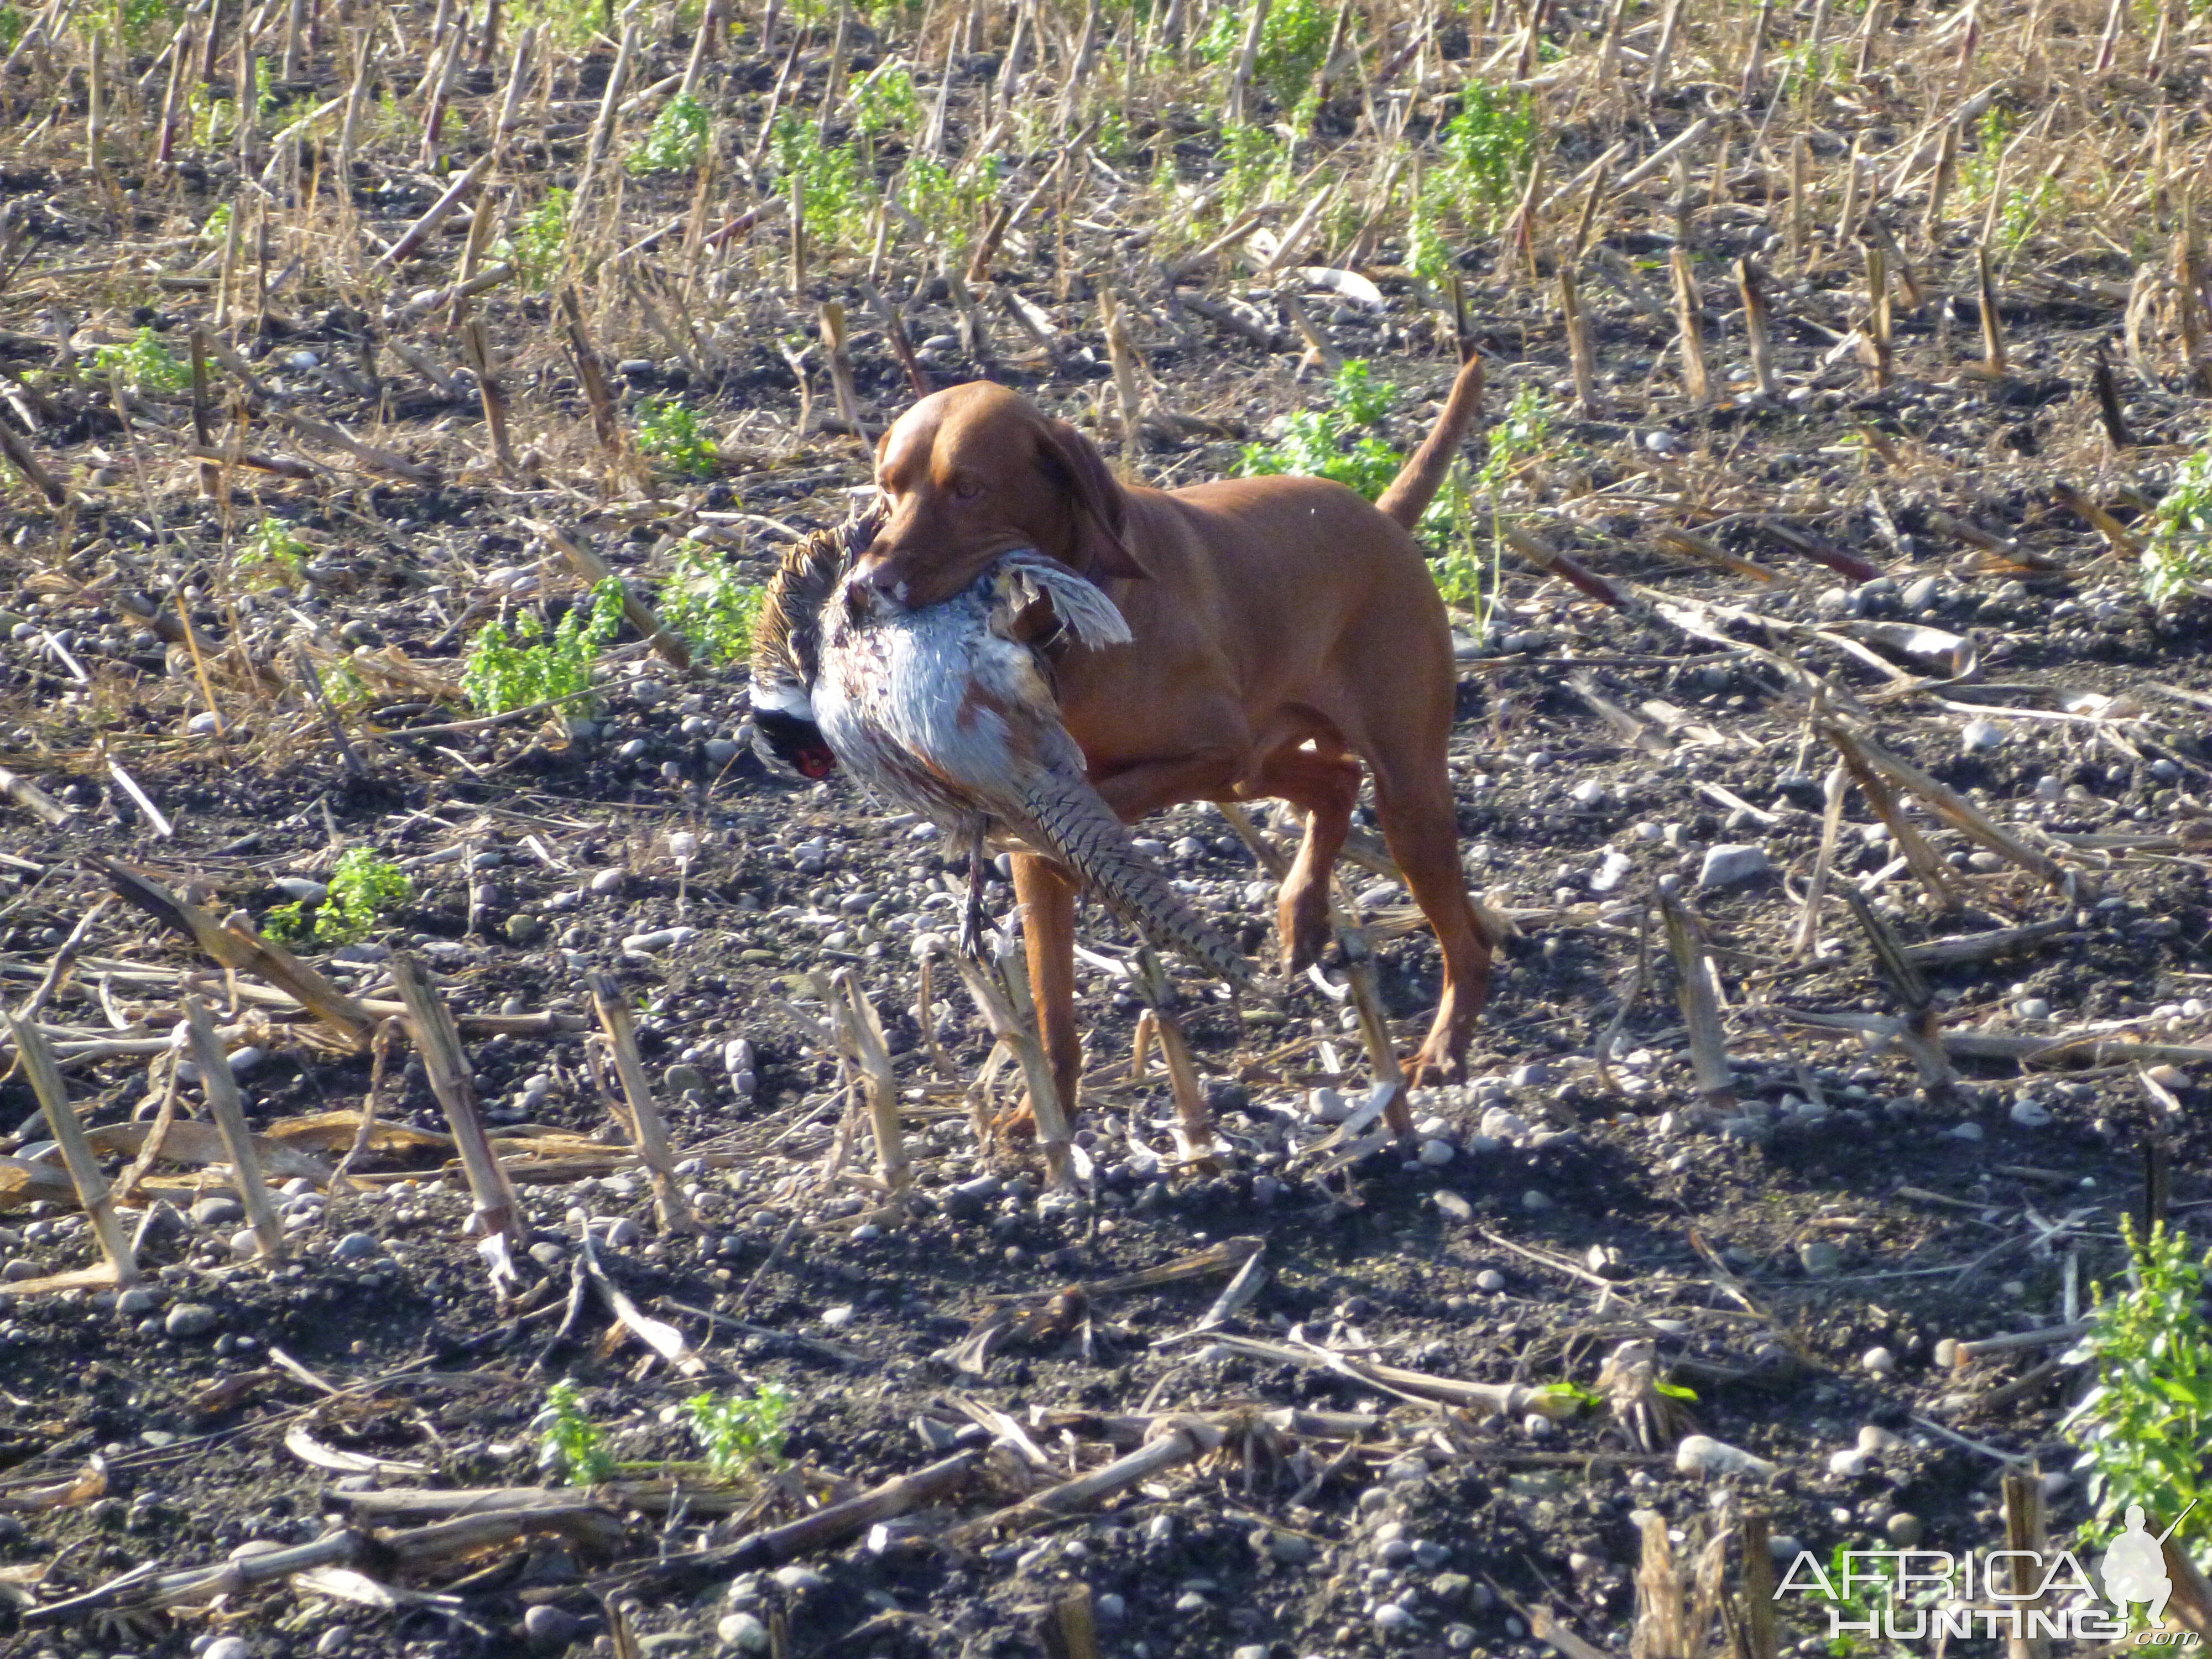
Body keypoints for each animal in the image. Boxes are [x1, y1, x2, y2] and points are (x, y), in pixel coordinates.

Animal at [854, 363, 1495, 1119]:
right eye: (888, 486)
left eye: (969, 489)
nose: (864, 585)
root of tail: (1380, 517)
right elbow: (1051, 1006)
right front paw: (1045, 1117)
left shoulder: (1213, 749)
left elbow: (1097, 806)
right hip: (1261, 764)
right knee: (1336, 781)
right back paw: (1302, 913)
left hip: (1401, 791)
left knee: (1463, 938)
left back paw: (1445, 1046)